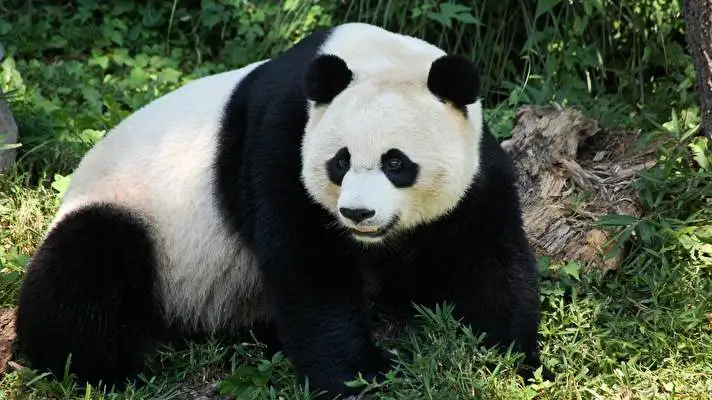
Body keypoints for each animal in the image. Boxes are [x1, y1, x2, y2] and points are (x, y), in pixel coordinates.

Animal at [14, 22, 545, 397]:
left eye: (396, 163)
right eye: (340, 161)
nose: (357, 214)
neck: (373, 56)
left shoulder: (475, 166)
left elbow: (487, 255)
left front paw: (513, 361)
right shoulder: (283, 136)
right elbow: (307, 262)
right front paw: (363, 377)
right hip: (134, 212)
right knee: (88, 265)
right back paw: (98, 370)